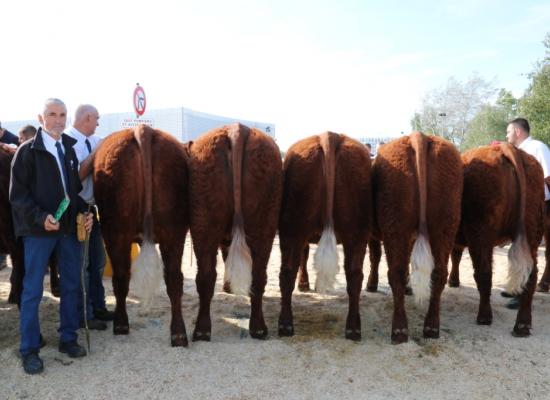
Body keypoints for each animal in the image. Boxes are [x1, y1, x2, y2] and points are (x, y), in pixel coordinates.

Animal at [94, 126, 191, 346]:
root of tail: (142, 128)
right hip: (174, 231)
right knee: (174, 278)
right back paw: (178, 334)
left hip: (115, 232)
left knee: (121, 278)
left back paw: (121, 325)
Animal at [188, 122, 282, 340]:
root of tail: (236, 128)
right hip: (263, 219)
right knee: (257, 275)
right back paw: (257, 328)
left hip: (204, 218)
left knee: (206, 275)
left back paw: (203, 330)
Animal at [280, 132, 370, 340]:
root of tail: (329, 135)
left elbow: (303, 256)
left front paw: (304, 284)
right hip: (357, 233)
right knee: (354, 275)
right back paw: (353, 328)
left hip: (291, 229)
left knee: (287, 272)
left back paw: (285, 325)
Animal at [378, 132, 464, 344]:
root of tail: (419, 135)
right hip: (445, 225)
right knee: (439, 273)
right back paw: (431, 327)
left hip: (394, 225)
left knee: (396, 273)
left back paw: (399, 330)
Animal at [448, 145, 548, 336]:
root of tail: (502, 147)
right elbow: (456, 255)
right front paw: (453, 281)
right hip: (532, 231)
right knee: (531, 275)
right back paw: (522, 325)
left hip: (480, 233)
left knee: (484, 273)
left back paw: (484, 317)